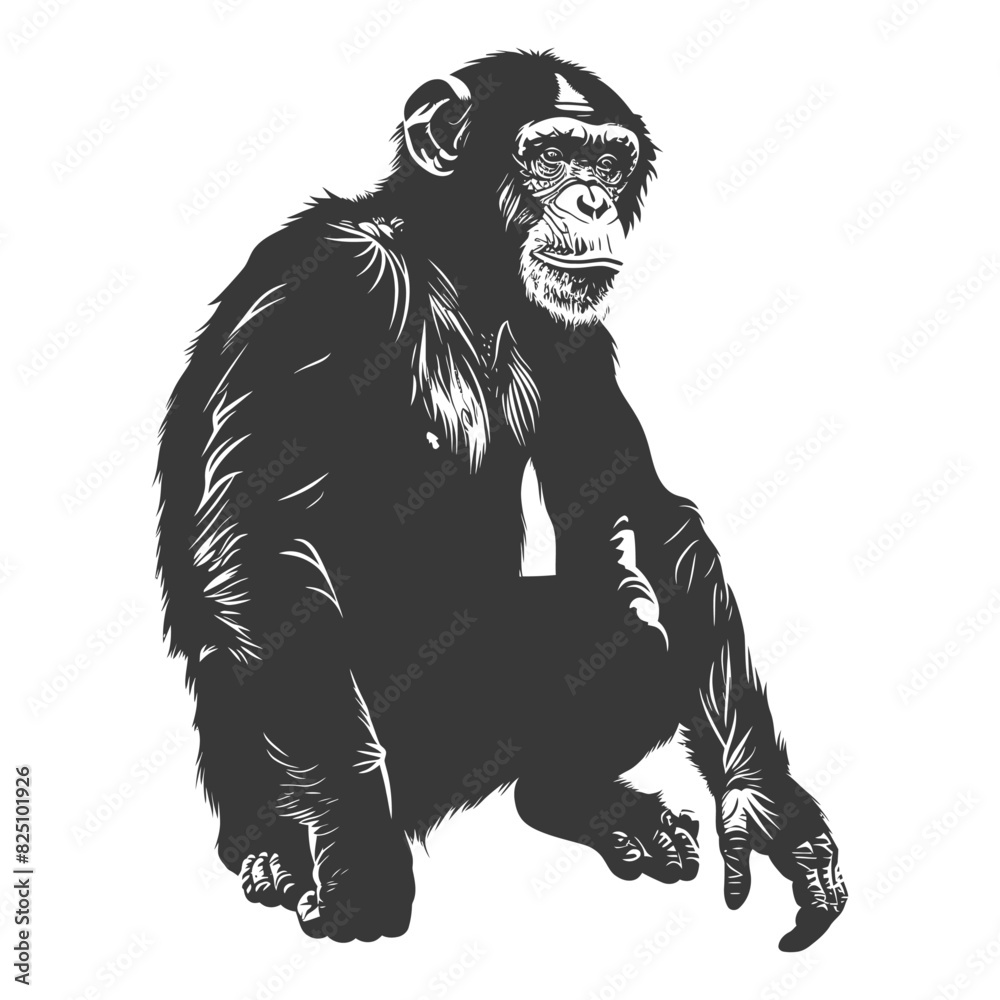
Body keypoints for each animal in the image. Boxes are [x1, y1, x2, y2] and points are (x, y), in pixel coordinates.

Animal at [156, 49, 846, 949]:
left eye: (607, 163)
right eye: (550, 155)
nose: (591, 201)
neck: (458, 276)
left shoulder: (574, 332)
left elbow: (642, 510)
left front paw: (772, 814)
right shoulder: (320, 285)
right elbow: (262, 539)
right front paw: (357, 862)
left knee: (633, 625)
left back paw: (582, 801)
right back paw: (276, 848)